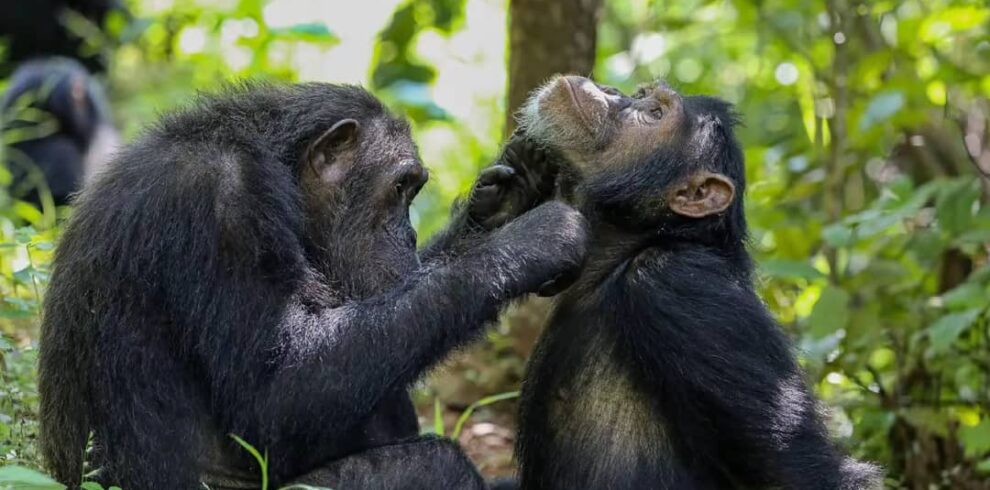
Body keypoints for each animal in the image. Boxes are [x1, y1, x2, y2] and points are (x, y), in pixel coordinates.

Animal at [37, 82, 589, 489]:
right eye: (400, 188)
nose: (408, 235)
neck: (274, 167)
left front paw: (508, 199)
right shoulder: (224, 209)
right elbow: (279, 396)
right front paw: (529, 241)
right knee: (434, 466)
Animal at [512, 75, 883, 489]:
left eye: (655, 113)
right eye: (640, 96)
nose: (611, 92)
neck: (625, 248)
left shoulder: (682, 289)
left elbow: (796, 467)